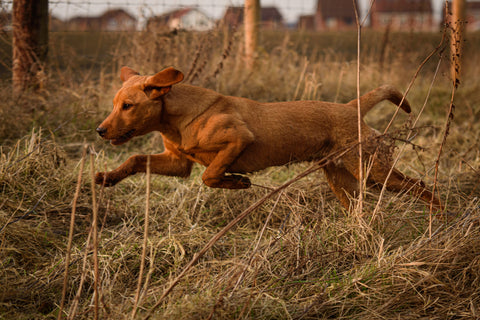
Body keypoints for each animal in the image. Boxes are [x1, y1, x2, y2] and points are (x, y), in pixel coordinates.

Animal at [95, 65, 444, 210]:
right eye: (113, 104)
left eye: (128, 106)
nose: (100, 130)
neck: (177, 119)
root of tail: (350, 107)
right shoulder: (178, 163)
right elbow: (135, 158)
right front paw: (108, 177)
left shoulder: (238, 139)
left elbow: (210, 175)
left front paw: (237, 182)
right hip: (342, 178)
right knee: (357, 204)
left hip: (372, 171)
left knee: (421, 186)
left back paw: (438, 218)